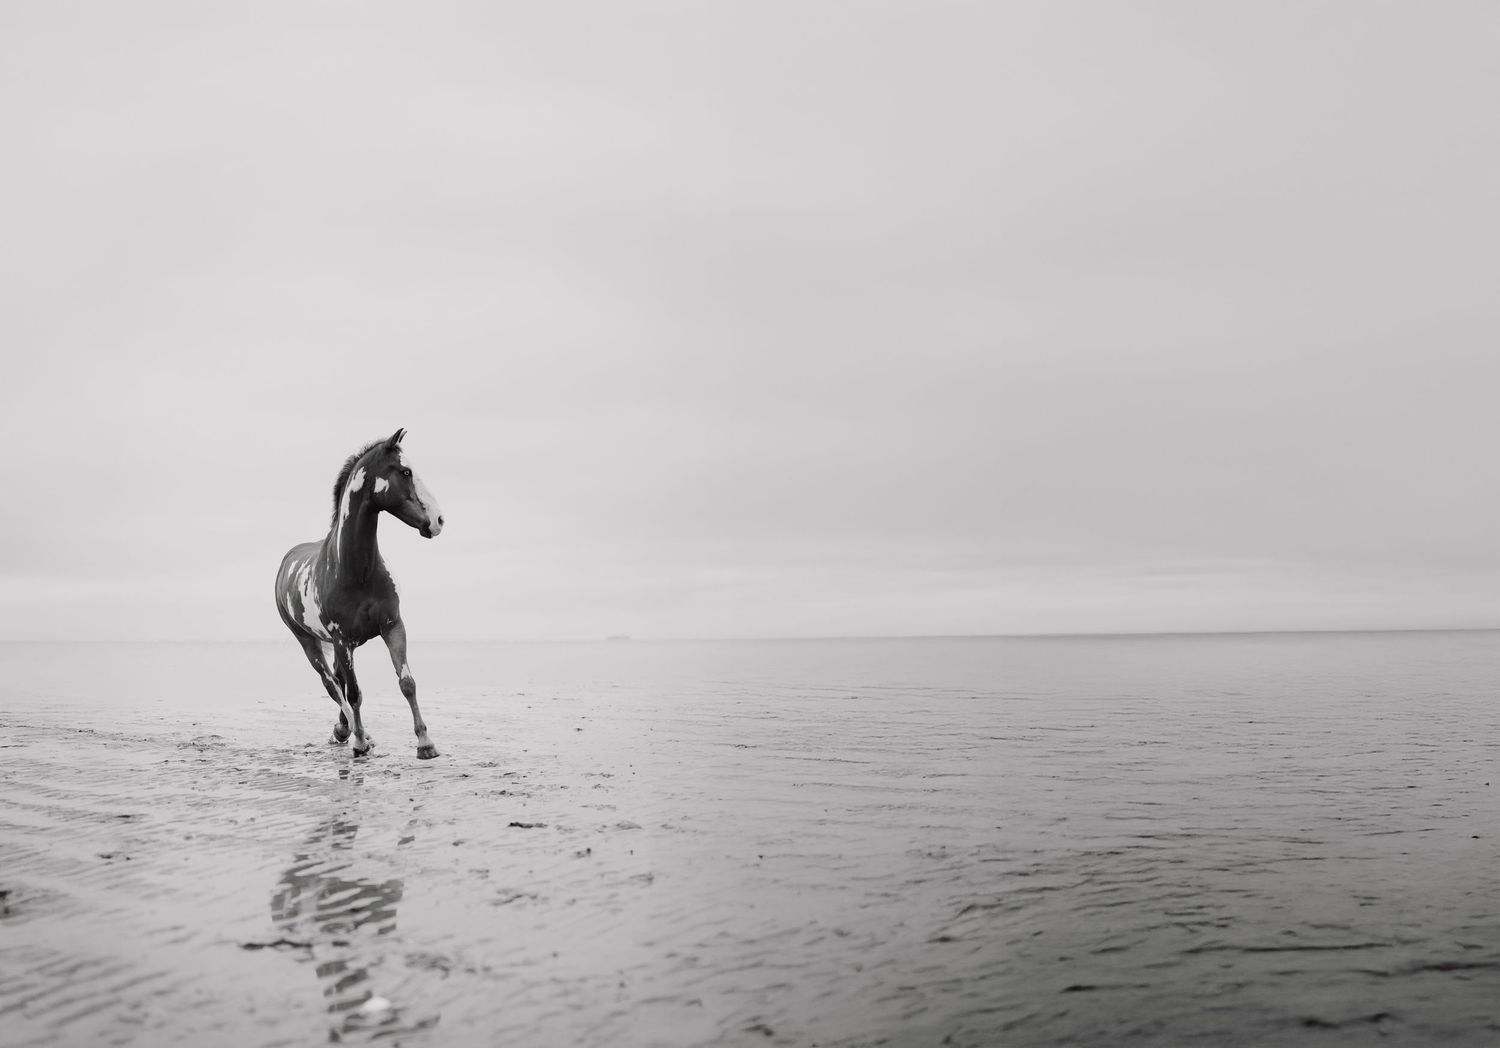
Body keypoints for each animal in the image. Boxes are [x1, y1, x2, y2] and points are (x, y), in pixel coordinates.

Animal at [275, 428, 445, 759]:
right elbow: (353, 693)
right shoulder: (342, 640)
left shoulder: (393, 626)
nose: (439, 520)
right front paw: (360, 742)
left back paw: (344, 729)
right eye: (405, 472)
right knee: (332, 684)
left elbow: (407, 683)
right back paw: (354, 733)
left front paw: (425, 743)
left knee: (339, 681)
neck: (356, 571)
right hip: (310, 643)